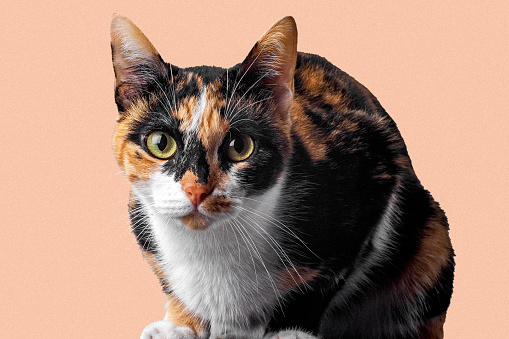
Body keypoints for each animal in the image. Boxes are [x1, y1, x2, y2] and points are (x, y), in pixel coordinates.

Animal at [110, 13, 452, 339]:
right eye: (161, 143)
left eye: (239, 146)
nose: (196, 190)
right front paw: (182, 325)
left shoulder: (373, 168)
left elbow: (320, 282)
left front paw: (291, 331)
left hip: (431, 243)